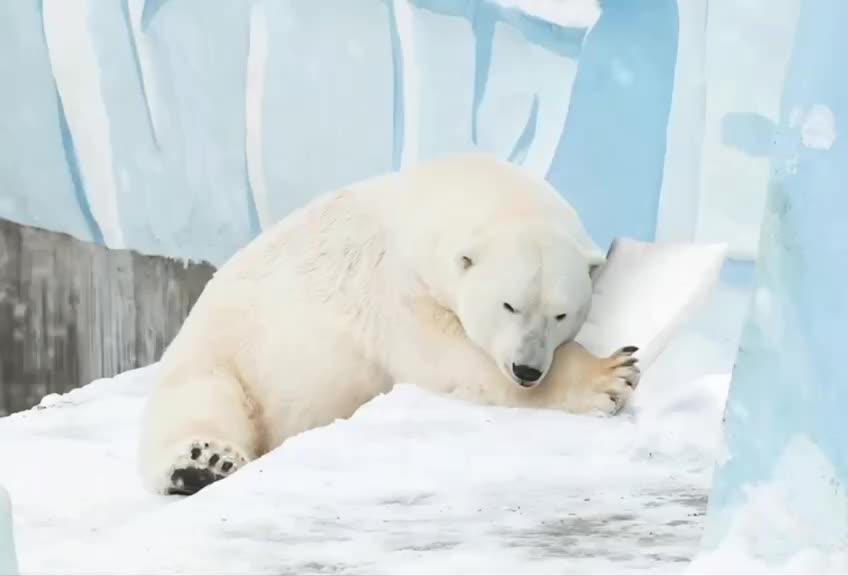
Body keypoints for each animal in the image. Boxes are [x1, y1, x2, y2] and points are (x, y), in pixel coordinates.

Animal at [139, 153, 640, 496]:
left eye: (560, 314)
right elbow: (454, 358)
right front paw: (611, 375)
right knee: (204, 400)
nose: (528, 370)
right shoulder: (394, 288)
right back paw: (201, 464)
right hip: (224, 352)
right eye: (508, 305)